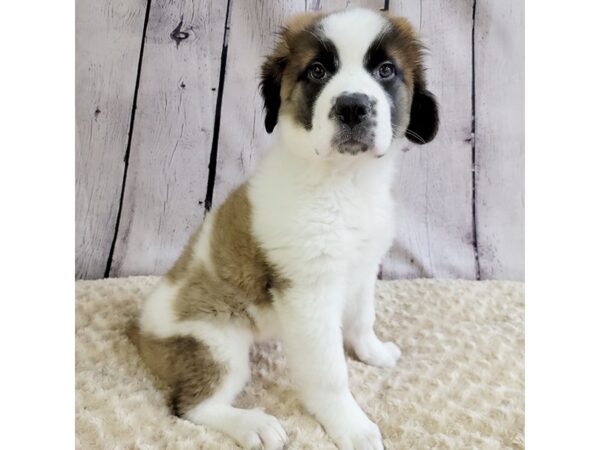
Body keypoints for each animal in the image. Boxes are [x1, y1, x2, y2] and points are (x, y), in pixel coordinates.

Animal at [129, 7, 438, 450]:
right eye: (317, 71)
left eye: (385, 70)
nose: (352, 107)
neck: (344, 180)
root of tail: (139, 330)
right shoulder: (310, 295)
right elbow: (329, 372)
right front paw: (350, 424)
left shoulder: (363, 270)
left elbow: (363, 318)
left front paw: (373, 352)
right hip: (215, 344)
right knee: (189, 406)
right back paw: (253, 425)